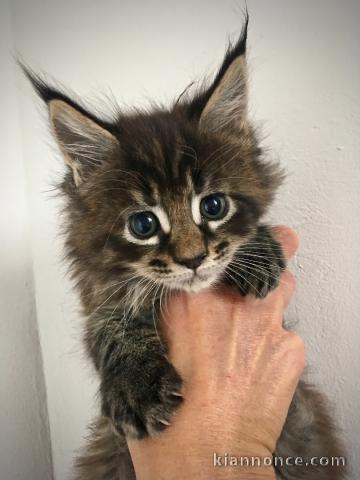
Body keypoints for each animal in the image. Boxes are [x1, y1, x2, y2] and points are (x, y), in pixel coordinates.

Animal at [23, 16, 344, 480]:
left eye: (213, 206)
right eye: (143, 225)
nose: (192, 259)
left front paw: (261, 255)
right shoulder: (96, 295)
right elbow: (110, 326)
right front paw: (137, 389)